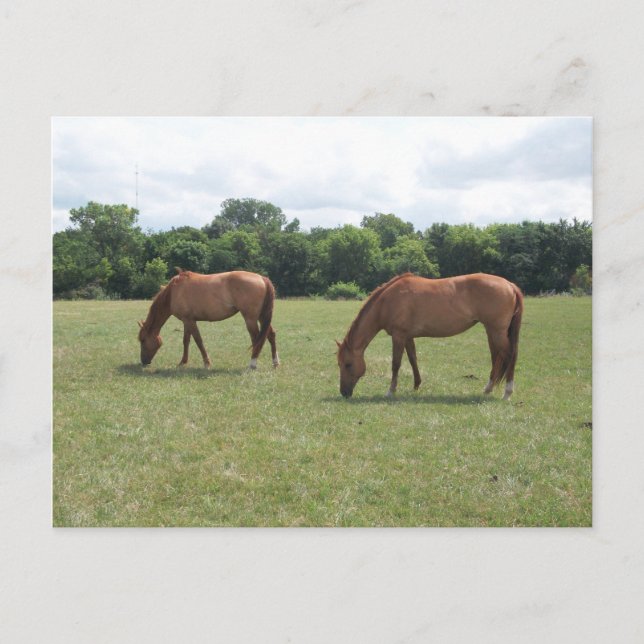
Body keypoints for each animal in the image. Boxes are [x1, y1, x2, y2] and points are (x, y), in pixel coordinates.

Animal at [138, 270, 279, 370]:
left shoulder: (190, 321)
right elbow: (186, 341)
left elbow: (198, 341)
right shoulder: (186, 321)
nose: (144, 362)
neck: (173, 292)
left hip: (250, 319)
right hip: (262, 317)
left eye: (143, 340)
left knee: (257, 339)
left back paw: (253, 364)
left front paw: (207, 363)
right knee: (270, 335)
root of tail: (262, 278)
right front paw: (183, 362)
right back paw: (275, 362)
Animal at [336, 273, 523, 400]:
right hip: (491, 331)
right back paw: (488, 389)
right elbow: (413, 359)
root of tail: (509, 284)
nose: (344, 392)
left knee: (510, 356)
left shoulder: (398, 336)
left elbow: (396, 364)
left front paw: (390, 391)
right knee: (497, 358)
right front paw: (416, 386)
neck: (387, 302)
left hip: (496, 331)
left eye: (348, 364)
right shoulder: (408, 337)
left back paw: (507, 393)